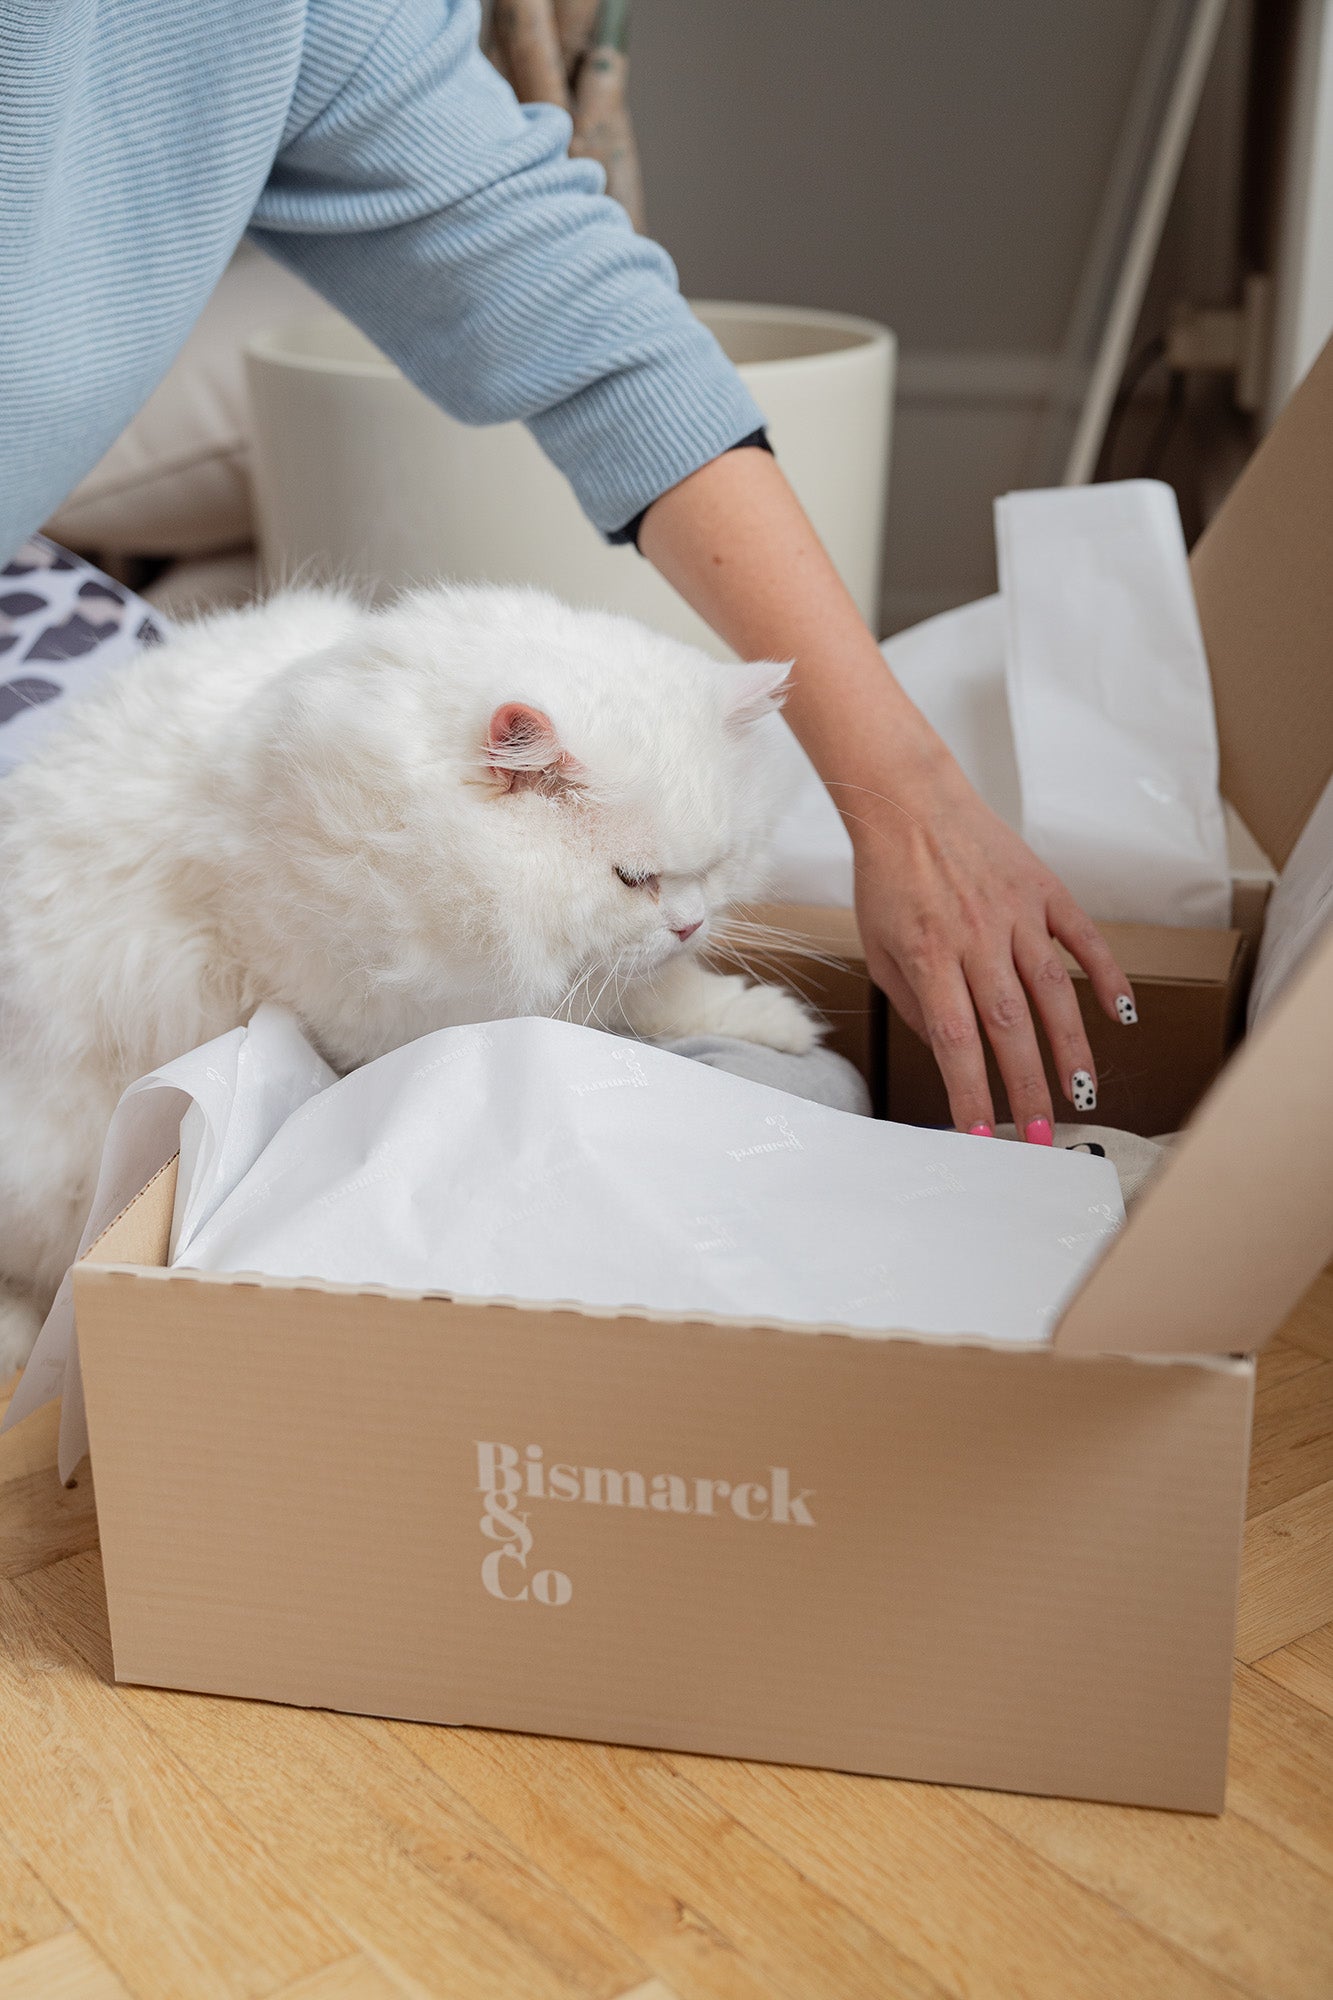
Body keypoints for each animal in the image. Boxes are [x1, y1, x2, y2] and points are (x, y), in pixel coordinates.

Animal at [0, 572, 816, 1368]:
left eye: (715, 866)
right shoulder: (365, 1005)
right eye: (633, 879)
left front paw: (778, 1025)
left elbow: (676, 995)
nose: (690, 924)